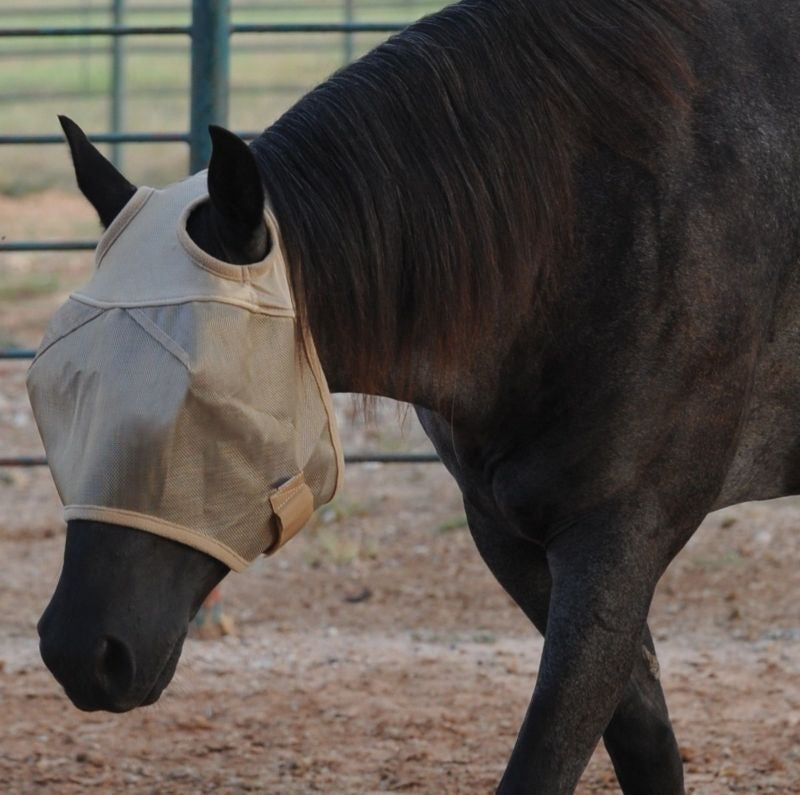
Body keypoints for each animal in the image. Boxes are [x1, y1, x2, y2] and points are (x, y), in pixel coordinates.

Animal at [33, 0, 800, 791]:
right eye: (57, 388)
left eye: (205, 396)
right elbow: (645, 737)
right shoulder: (507, 531)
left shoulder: (621, 535)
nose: (79, 652)